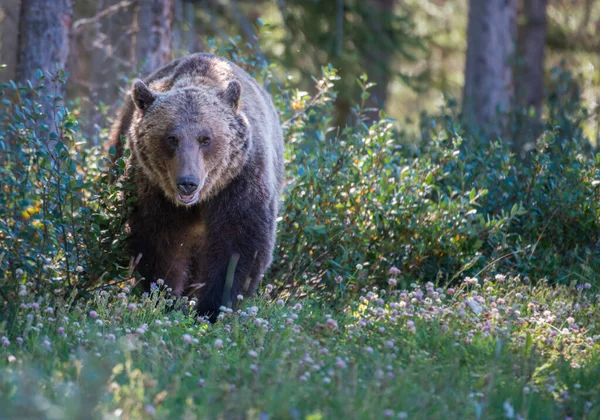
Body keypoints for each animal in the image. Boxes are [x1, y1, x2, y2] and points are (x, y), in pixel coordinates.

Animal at [109, 54, 284, 320]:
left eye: (206, 139)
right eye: (171, 138)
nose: (187, 183)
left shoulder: (240, 182)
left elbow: (238, 244)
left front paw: (213, 306)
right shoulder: (152, 188)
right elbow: (158, 242)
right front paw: (166, 298)